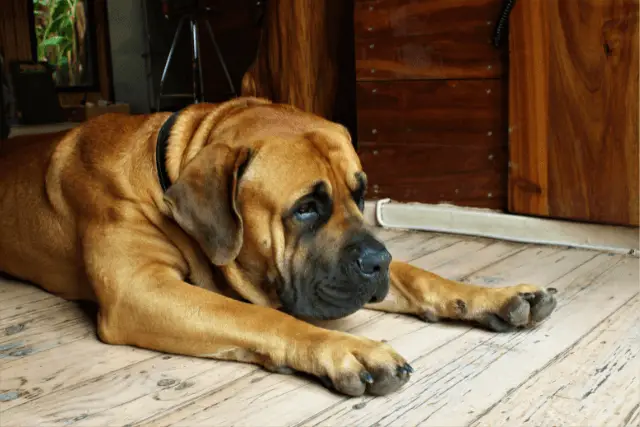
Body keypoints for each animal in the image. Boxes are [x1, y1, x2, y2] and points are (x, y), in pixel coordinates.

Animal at [0, 98, 556, 398]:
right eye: (305, 208)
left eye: (360, 193)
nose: (378, 261)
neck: (165, 174)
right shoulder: (140, 291)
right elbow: (261, 316)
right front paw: (345, 348)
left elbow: (422, 275)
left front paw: (494, 296)